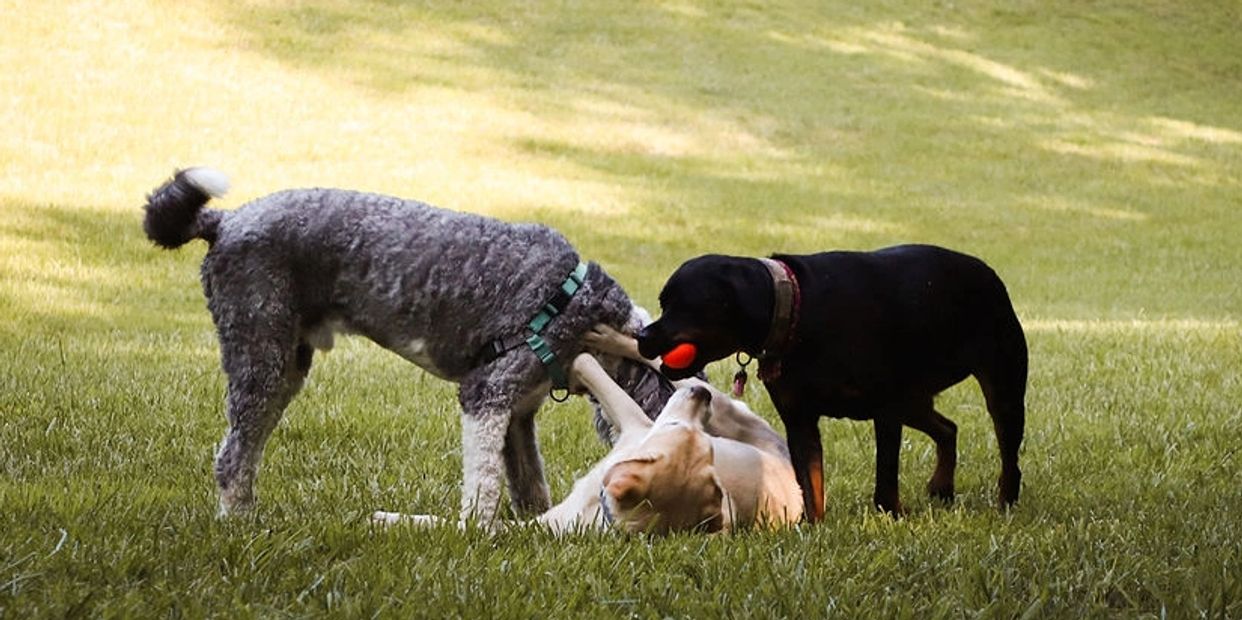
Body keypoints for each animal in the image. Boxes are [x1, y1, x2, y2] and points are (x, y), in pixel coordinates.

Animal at [139, 168, 670, 524]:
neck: (579, 304)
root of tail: (224, 221)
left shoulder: (518, 415)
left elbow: (529, 484)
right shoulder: (486, 394)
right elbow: (484, 486)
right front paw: (478, 533)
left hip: (286, 363)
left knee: (245, 451)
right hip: (260, 353)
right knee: (233, 456)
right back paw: (239, 523)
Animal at [635, 242, 1023, 519]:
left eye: (684, 305)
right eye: (663, 302)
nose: (642, 336)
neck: (796, 310)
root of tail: (990, 275)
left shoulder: (885, 410)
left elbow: (885, 473)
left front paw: (891, 515)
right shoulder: (800, 422)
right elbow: (810, 485)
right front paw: (812, 528)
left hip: (1001, 387)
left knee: (1008, 455)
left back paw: (1005, 503)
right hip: (912, 401)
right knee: (948, 428)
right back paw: (942, 486)